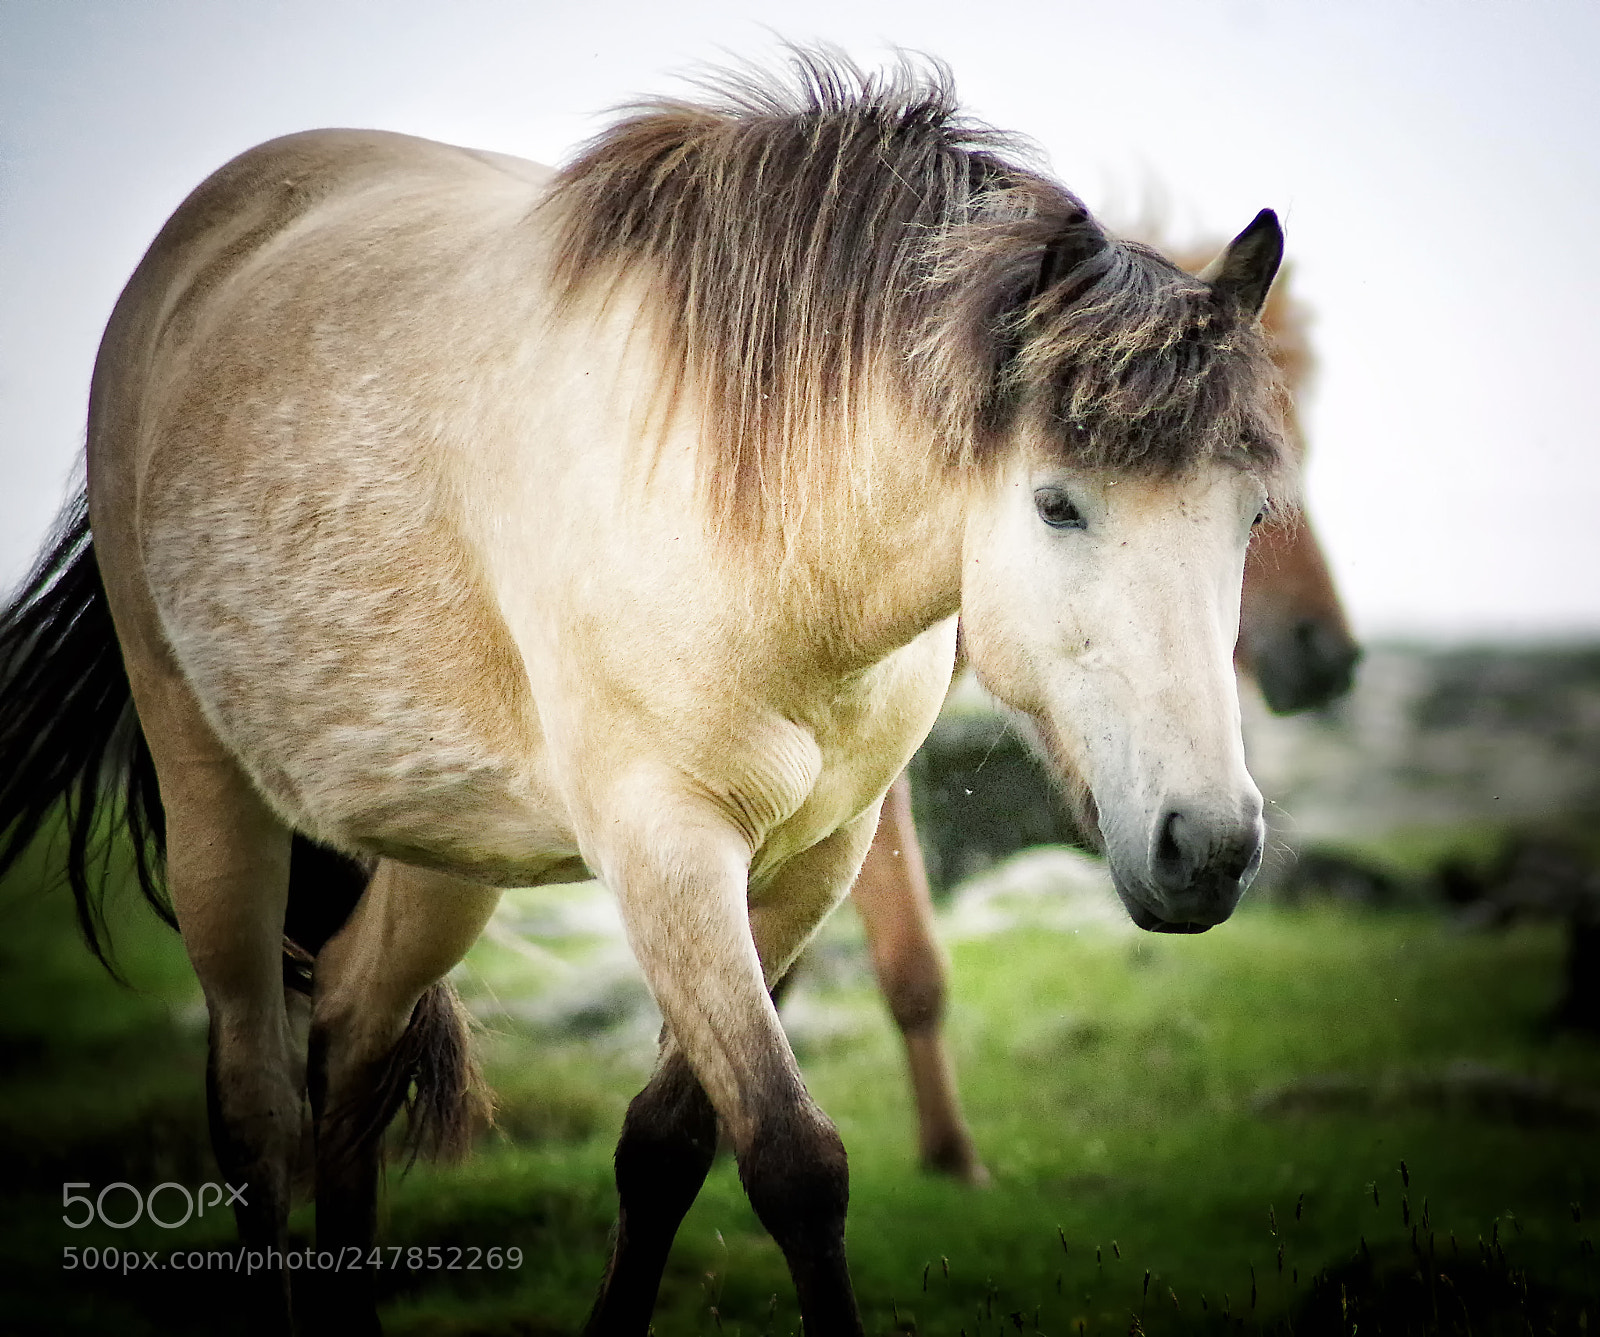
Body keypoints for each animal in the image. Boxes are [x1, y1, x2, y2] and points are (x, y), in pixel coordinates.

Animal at [0, 53, 1292, 1336]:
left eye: (1249, 518)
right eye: (1056, 503)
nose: (1208, 846)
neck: (758, 525)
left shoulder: (816, 856)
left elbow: (669, 1143)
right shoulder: (665, 846)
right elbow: (793, 1159)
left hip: (441, 845)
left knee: (354, 1042)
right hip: (212, 792)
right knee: (258, 1107)